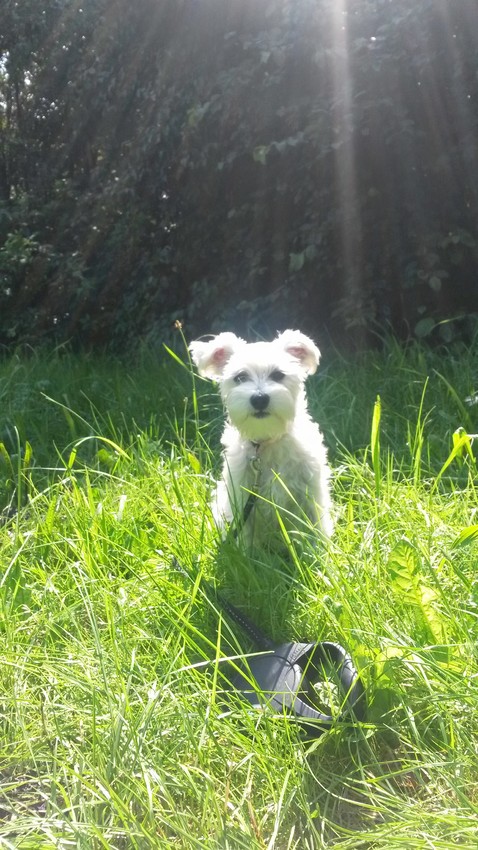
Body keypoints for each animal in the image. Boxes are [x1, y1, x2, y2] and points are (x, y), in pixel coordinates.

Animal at [189, 329, 333, 549]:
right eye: (240, 377)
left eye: (278, 375)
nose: (259, 399)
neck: (268, 440)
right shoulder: (241, 497)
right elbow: (247, 538)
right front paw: (246, 555)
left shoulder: (310, 492)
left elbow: (314, 528)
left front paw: (318, 553)